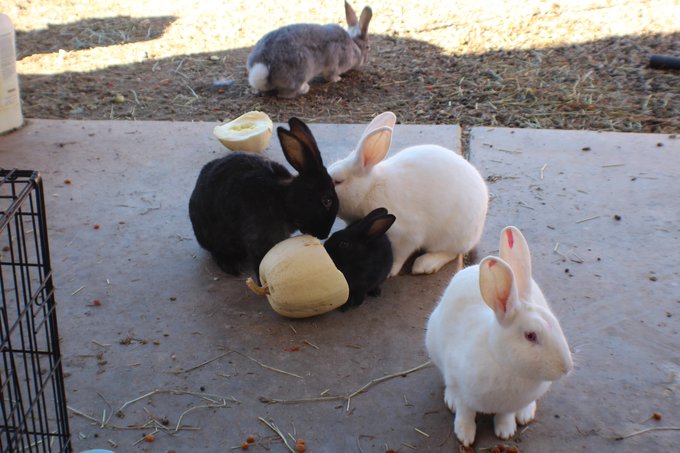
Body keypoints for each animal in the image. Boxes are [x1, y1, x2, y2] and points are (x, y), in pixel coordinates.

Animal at [188, 117, 338, 281]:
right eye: (327, 201)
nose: (323, 235)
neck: (283, 200)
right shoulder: (258, 240)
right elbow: (259, 262)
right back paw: (230, 266)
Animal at [328, 111, 489, 277]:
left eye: (338, 182)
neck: (369, 189)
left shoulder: (406, 235)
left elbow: (399, 254)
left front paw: (390, 271)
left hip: (451, 236)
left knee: (451, 252)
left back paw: (424, 264)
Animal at [425, 226, 573, 447]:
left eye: (555, 324)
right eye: (530, 336)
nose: (566, 368)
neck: (505, 363)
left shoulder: (508, 406)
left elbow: (505, 416)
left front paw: (506, 431)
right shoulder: (462, 391)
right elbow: (465, 413)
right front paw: (465, 436)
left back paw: (525, 414)